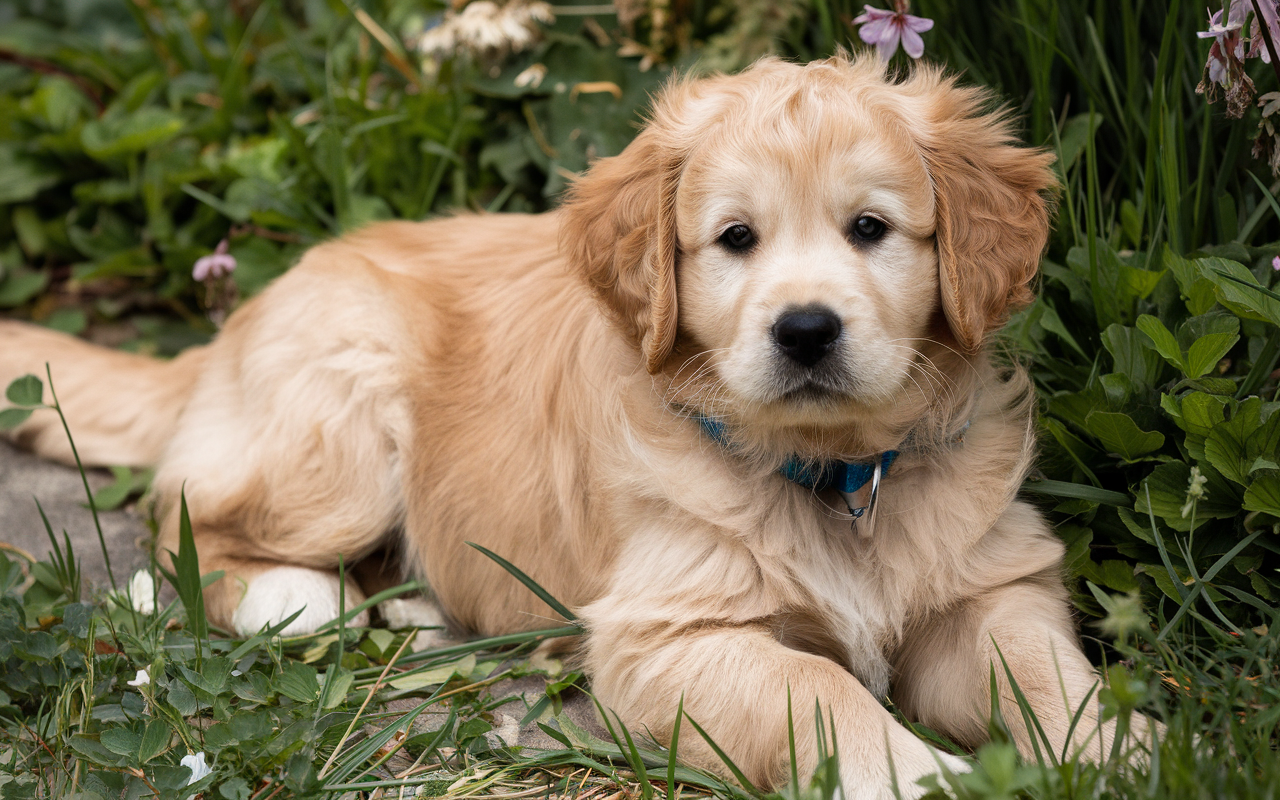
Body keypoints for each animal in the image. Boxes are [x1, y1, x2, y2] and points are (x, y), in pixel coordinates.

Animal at [0, 56, 1141, 798]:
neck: (834, 472)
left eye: (870, 228)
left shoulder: (988, 585)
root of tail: (242, 319)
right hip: (342, 415)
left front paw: (1124, 750)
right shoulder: (667, 635)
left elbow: (1047, 672)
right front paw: (924, 774)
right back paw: (304, 598)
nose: (805, 329)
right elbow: (816, 688)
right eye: (734, 239)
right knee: (189, 518)